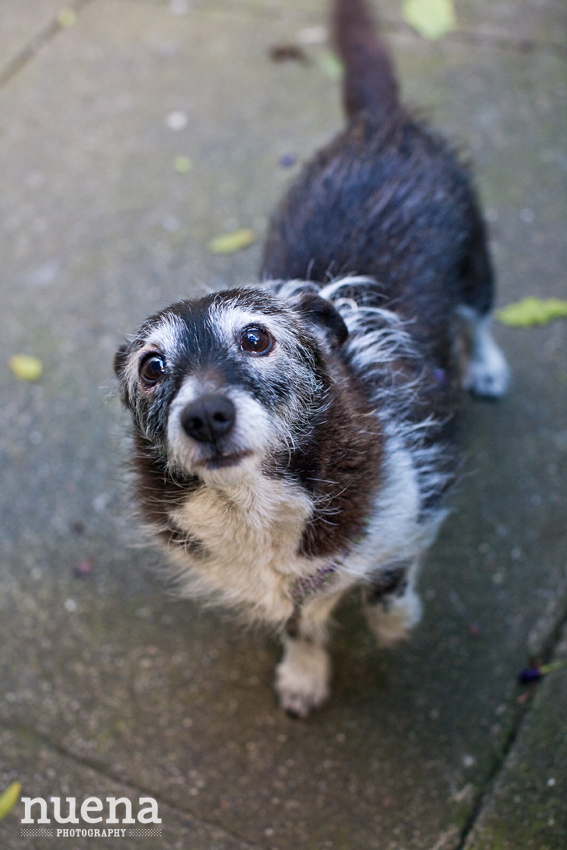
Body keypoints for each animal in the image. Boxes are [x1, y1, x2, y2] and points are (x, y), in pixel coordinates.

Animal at [114, 0, 510, 716]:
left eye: (256, 338)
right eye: (152, 367)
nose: (206, 417)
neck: (255, 501)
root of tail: (378, 124)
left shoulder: (412, 495)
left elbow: (387, 578)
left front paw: (395, 621)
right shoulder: (274, 583)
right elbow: (299, 622)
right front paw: (303, 674)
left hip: (474, 264)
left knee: (480, 314)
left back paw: (487, 366)